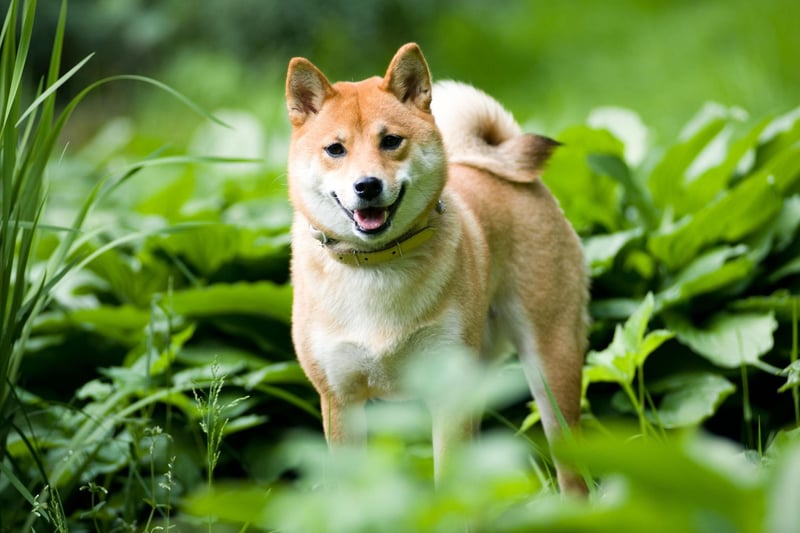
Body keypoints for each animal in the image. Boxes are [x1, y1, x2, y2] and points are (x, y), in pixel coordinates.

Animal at [284, 42, 584, 494]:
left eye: (391, 141)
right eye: (336, 149)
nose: (367, 185)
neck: (377, 266)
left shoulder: (446, 393)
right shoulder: (340, 400)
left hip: (552, 368)